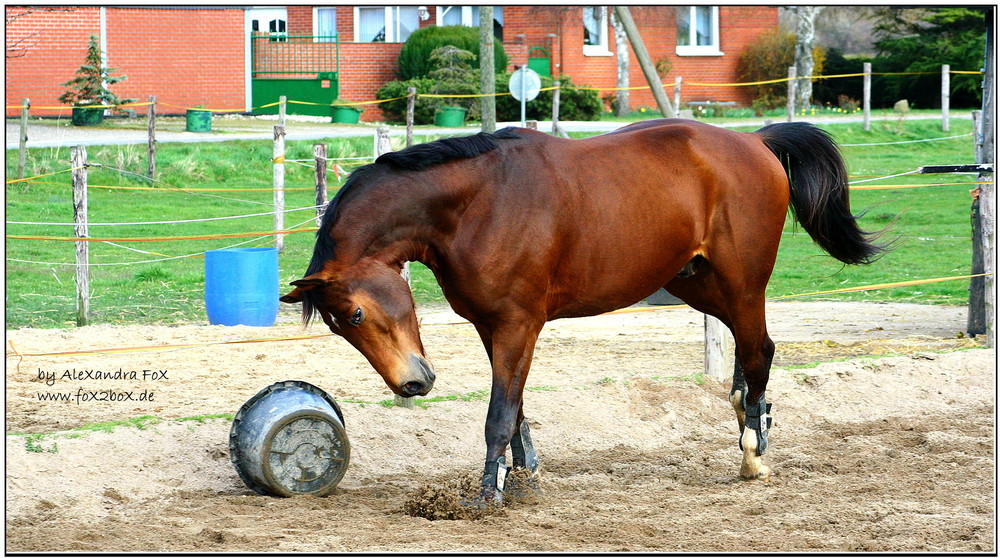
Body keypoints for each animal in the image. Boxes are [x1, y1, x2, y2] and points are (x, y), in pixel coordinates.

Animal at [282, 120, 884, 506]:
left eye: (354, 316)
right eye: (340, 326)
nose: (413, 384)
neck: (477, 204)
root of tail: (754, 142)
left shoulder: (518, 324)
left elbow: (499, 413)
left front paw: (488, 494)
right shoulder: (492, 326)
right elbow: (517, 408)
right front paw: (523, 480)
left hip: (741, 283)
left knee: (758, 351)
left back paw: (754, 451)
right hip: (693, 282)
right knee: (750, 349)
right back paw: (751, 421)